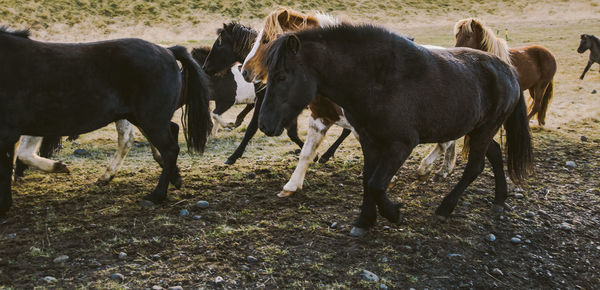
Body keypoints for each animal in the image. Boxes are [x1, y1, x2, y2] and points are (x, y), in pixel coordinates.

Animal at [0, 28, 212, 216]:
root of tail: (168, 50)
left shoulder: (10, 133)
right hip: (143, 118)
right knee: (168, 135)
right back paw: (173, 179)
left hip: (151, 119)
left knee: (168, 149)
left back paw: (155, 195)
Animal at [260, 24, 532, 237]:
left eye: (282, 76)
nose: (264, 124)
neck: (379, 79)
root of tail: (509, 71)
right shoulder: (369, 141)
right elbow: (367, 180)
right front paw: (365, 221)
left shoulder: (401, 144)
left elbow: (376, 184)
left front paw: (393, 214)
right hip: (479, 130)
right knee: (494, 153)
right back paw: (499, 200)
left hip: (484, 130)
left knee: (475, 166)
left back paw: (445, 208)